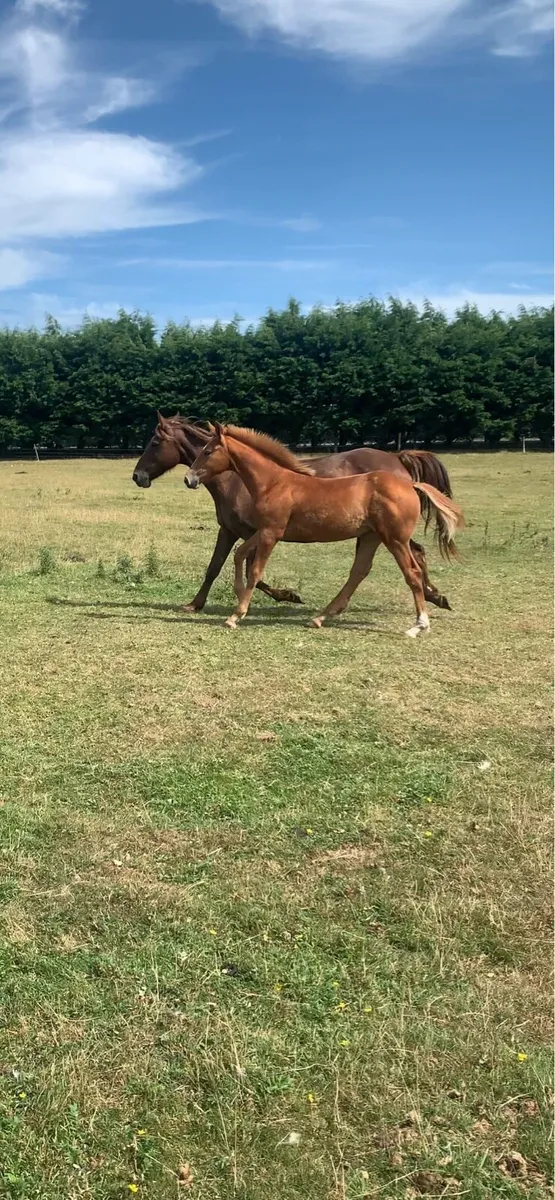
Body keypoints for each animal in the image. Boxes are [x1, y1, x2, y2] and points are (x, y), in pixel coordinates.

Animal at [133, 413, 454, 611]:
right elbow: (215, 567)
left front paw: (288, 595)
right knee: (417, 552)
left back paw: (434, 595)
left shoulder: (255, 531)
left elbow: (251, 570)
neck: (236, 479)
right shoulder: (230, 530)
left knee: (415, 552)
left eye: (155, 442)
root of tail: (397, 458)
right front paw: (195, 604)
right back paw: (433, 595)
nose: (137, 476)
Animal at [185, 423, 465, 637]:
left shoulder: (270, 533)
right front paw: (239, 592)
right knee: (359, 572)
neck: (274, 483)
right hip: (371, 537)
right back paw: (320, 618)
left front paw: (236, 615)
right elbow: (239, 554)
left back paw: (419, 625)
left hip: (394, 538)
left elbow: (254, 570)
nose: (189, 479)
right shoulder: (263, 530)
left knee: (412, 573)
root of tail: (410, 484)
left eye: (207, 451)